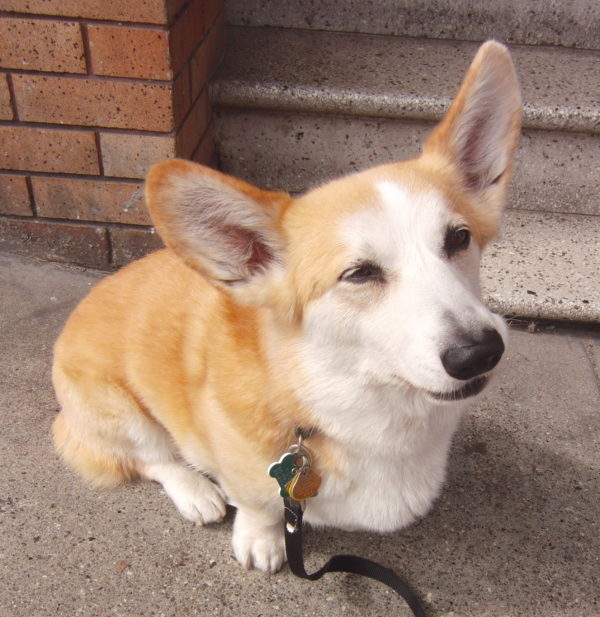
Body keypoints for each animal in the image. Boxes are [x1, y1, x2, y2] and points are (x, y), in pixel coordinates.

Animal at [51, 42, 520, 572]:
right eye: (359, 273)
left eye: (458, 238)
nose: (479, 352)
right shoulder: (247, 472)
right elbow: (257, 504)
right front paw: (262, 541)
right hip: (120, 412)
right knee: (153, 459)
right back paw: (197, 493)